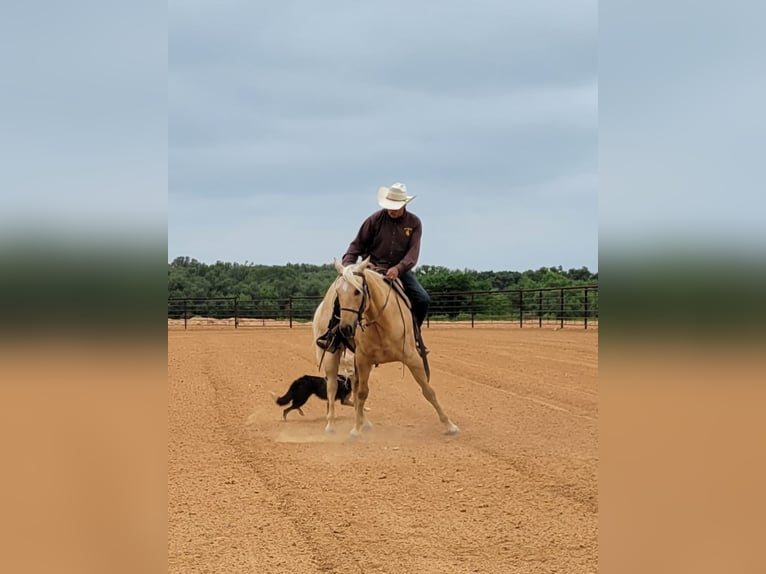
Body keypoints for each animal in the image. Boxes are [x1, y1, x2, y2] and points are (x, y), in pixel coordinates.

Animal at [314, 256, 462, 436]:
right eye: (339, 293)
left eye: (357, 291)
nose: (346, 328)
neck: (381, 323)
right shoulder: (363, 360)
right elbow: (362, 393)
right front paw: (356, 430)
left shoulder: (412, 358)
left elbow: (428, 391)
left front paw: (450, 425)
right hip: (331, 354)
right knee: (332, 387)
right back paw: (331, 425)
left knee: (353, 386)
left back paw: (364, 422)